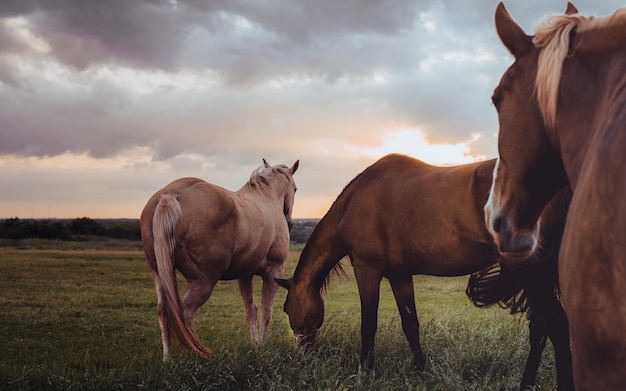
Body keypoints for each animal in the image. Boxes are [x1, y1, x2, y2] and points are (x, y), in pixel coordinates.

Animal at [140, 159, 300, 362]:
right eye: (295, 189)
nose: (290, 223)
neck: (267, 198)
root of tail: (169, 196)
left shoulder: (245, 275)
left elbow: (251, 310)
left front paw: (255, 345)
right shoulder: (274, 272)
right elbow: (266, 312)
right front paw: (262, 346)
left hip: (159, 274)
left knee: (164, 311)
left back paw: (168, 358)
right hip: (202, 282)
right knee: (184, 314)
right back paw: (196, 353)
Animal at [276, 153, 572, 388]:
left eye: (287, 309)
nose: (302, 354)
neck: (354, 203)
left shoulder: (367, 269)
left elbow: (368, 325)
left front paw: (364, 375)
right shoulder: (399, 275)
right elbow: (411, 324)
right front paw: (420, 372)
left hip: (533, 274)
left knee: (551, 325)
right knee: (545, 326)